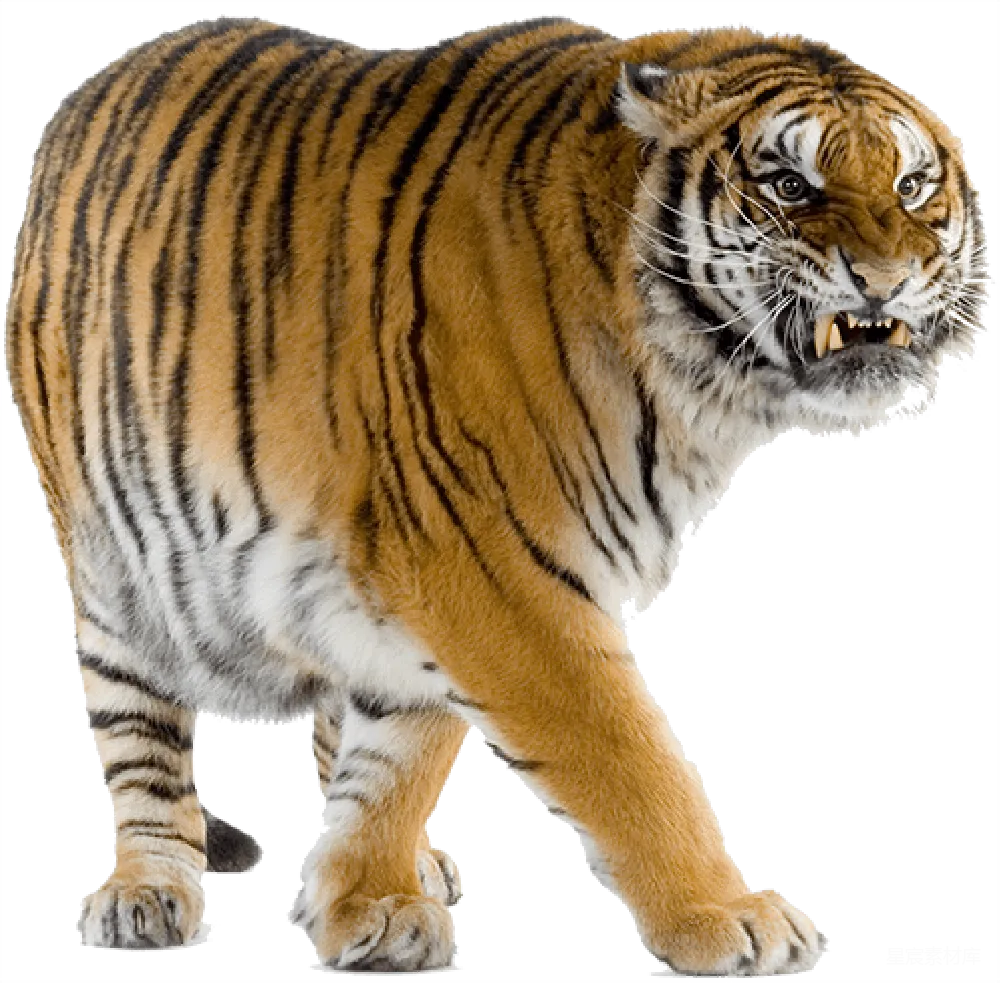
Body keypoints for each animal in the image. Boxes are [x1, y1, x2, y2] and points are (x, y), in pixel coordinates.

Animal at [5, 13, 987, 973]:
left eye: (910, 186)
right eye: (789, 184)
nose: (886, 277)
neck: (692, 388)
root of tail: (98, 81)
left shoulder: (419, 579)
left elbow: (397, 757)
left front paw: (368, 898)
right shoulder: (489, 564)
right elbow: (626, 756)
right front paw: (729, 917)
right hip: (116, 577)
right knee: (142, 739)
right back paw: (146, 892)